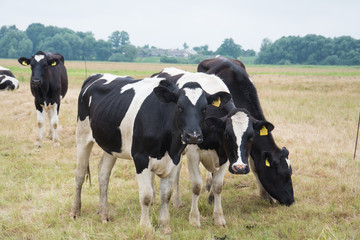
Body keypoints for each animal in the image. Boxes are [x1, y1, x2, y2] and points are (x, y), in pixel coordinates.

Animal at [69, 72, 231, 233]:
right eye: (179, 107)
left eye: (204, 109)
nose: (193, 136)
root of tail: (95, 76)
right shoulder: (141, 159)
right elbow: (146, 196)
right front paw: (145, 226)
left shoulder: (174, 159)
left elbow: (166, 195)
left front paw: (164, 226)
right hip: (82, 136)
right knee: (80, 174)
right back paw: (75, 211)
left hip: (111, 145)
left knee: (103, 174)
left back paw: (104, 214)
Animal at [153, 68, 274, 227]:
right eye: (227, 134)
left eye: (251, 136)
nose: (240, 168)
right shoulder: (193, 153)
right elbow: (196, 186)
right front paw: (194, 219)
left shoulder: (225, 156)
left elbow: (218, 186)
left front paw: (218, 218)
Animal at [197, 56, 296, 206]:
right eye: (281, 175)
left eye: (290, 173)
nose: (291, 200)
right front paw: (211, 196)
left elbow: (254, 166)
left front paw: (265, 195)